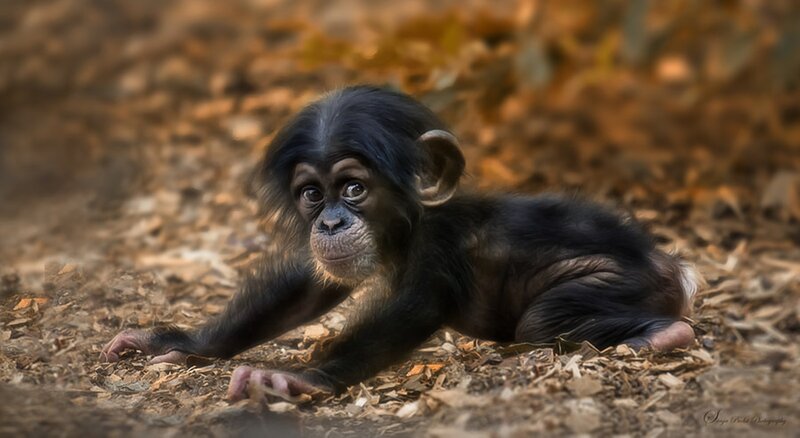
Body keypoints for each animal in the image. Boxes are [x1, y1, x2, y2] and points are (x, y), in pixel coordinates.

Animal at [102, 85, 701, 400]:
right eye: (312, 195)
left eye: (353, 187)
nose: (330, 223)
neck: (409, 224)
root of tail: (676, 267)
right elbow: (306, 288)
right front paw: (178, 343)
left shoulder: (437, 250)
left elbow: (411, 310)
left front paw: (295, 378)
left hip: (619, 281)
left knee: (543, 320)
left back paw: (663, 336)